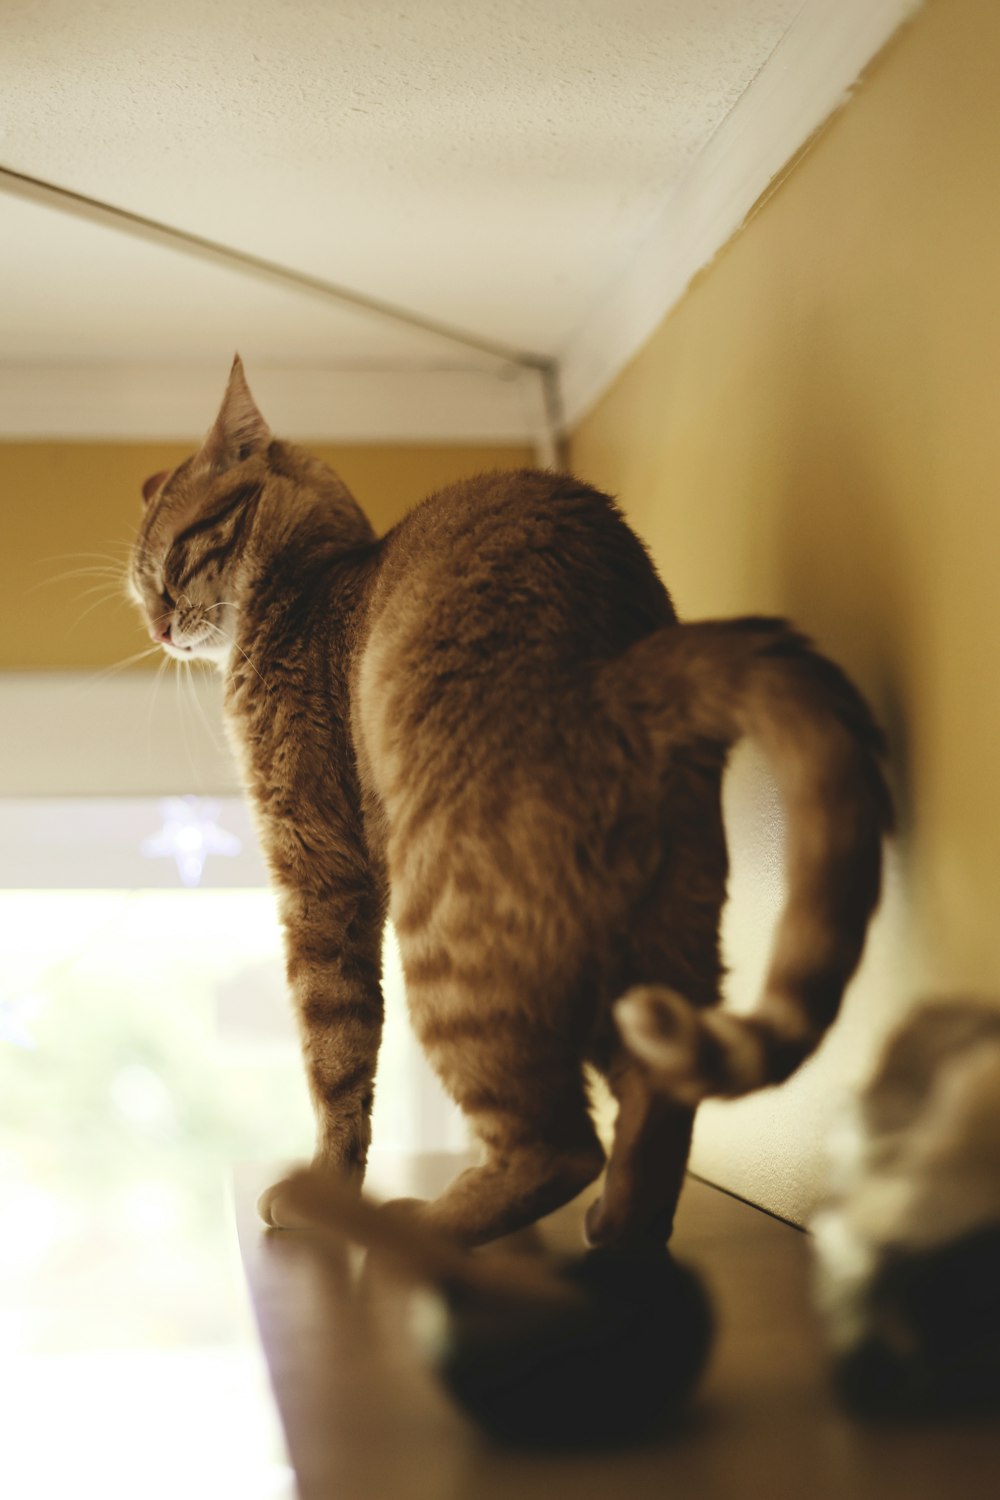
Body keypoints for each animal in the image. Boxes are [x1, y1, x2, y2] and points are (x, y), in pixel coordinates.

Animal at [127, 357, 893, 1248]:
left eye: (171, 563)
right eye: (142, 591)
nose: (159, 627)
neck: (311, 583)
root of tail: (622, 669)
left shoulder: (320, 879)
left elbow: (336, 1058)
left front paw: (324, 1186)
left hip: (451, 945)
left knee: (562, 1146)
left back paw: (427, 1227)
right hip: (667, 941)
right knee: (652, 1105)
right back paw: (622, 1230)